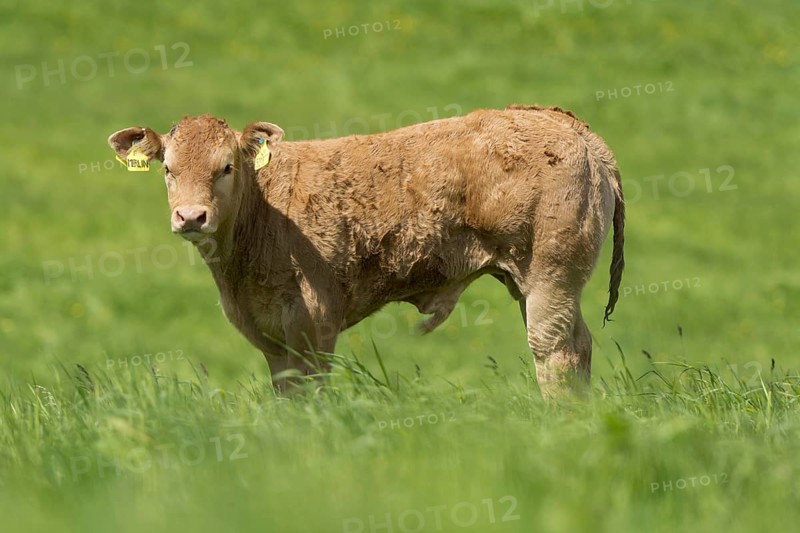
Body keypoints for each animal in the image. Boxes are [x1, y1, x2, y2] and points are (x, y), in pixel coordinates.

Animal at [107, 105, 624, 397]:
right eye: (168, 169)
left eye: (226, 167)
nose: (191, 216)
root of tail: (570, 126)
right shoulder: (270, 334)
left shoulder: (315, 323)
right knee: (578, 345)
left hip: (550, 276)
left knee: (554, 351)